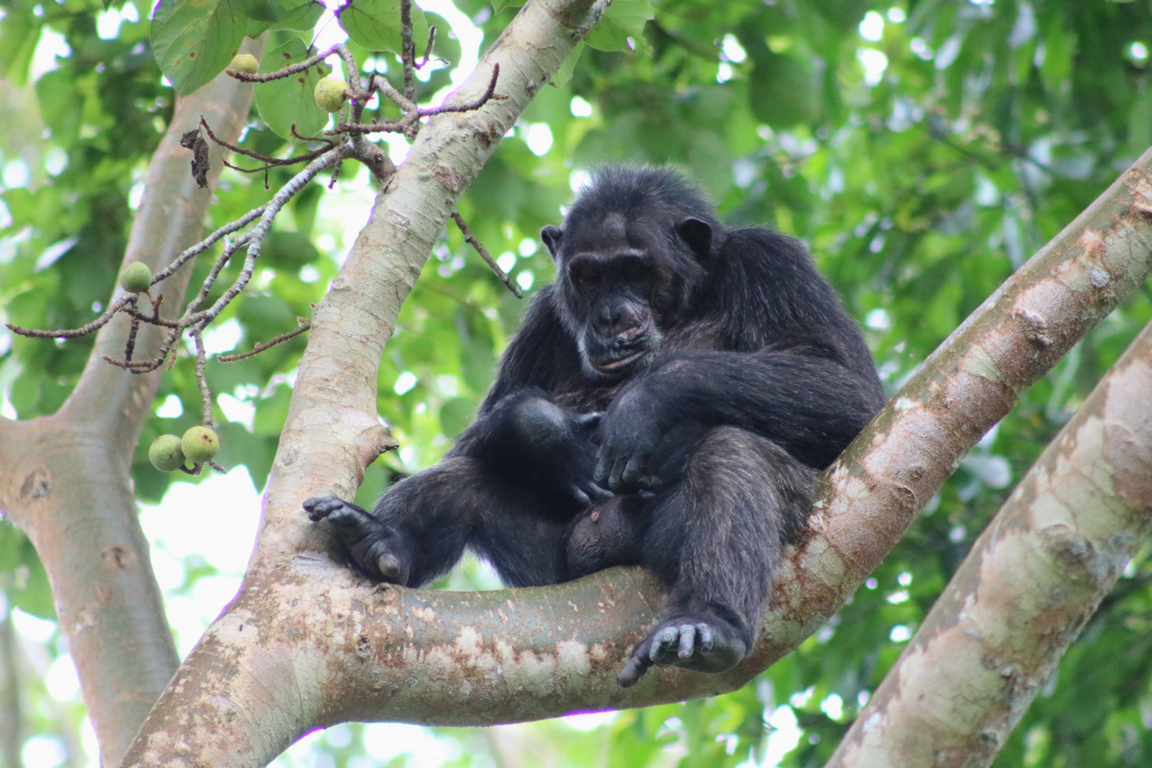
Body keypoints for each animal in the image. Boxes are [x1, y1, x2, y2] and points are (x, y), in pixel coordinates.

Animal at [304, 165, 880, 686]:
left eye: (636, 271)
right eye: (590, 276)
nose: (611, 315)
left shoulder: (775, 264)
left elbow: (847, 389)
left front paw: (643, 403)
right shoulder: (543, 316)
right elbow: (478, 431)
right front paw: (549, 431)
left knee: (735, 456)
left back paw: (706, 623)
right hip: (553, 564)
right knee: (465, 475)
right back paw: (379, 538)